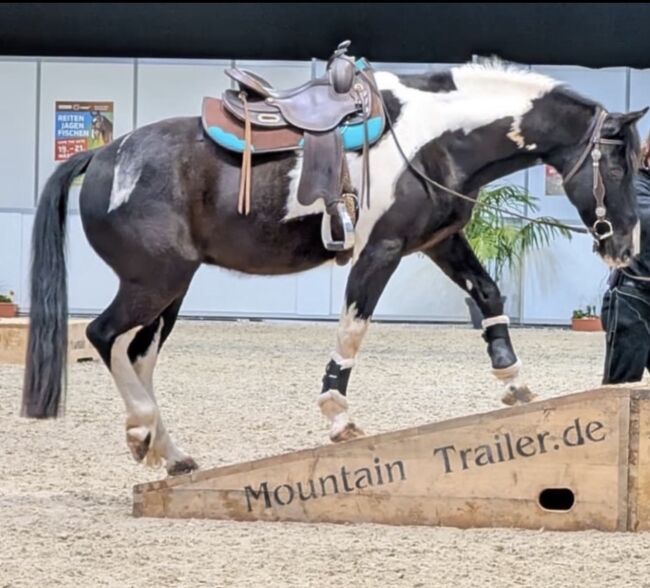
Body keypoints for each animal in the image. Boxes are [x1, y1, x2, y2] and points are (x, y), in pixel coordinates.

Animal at [21, 59, 646, 476]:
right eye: (618, 163)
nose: (627, 245)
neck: (432, 139)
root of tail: (102, 155)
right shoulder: (382, 249)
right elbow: (354, 326)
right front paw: (338, 417)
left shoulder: (440, 242)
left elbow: (489, 294)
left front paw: (513, 380)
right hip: (155, 283)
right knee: (104, 337)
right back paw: (143, 428)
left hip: (168, 290)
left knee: (138, 355)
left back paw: (167, 450)